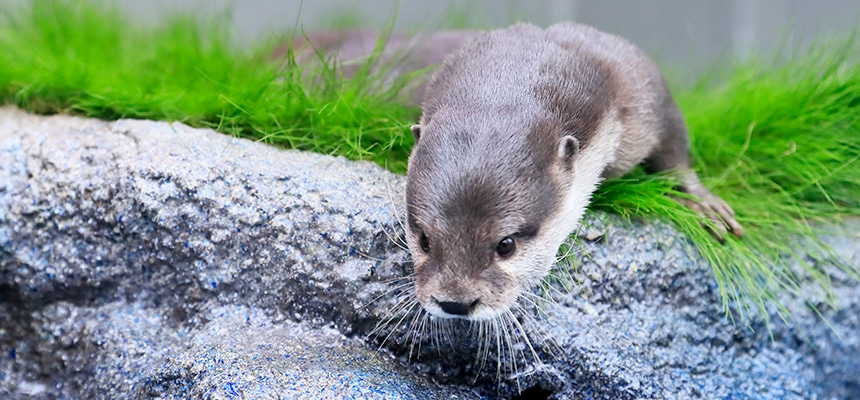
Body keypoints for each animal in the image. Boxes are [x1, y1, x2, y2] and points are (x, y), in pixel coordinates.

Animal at [404, 22, 744, 322]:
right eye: (424, 241)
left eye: (506, 245)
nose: (455, 303)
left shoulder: (644, 90)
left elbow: (674, 145)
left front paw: (701, 203)